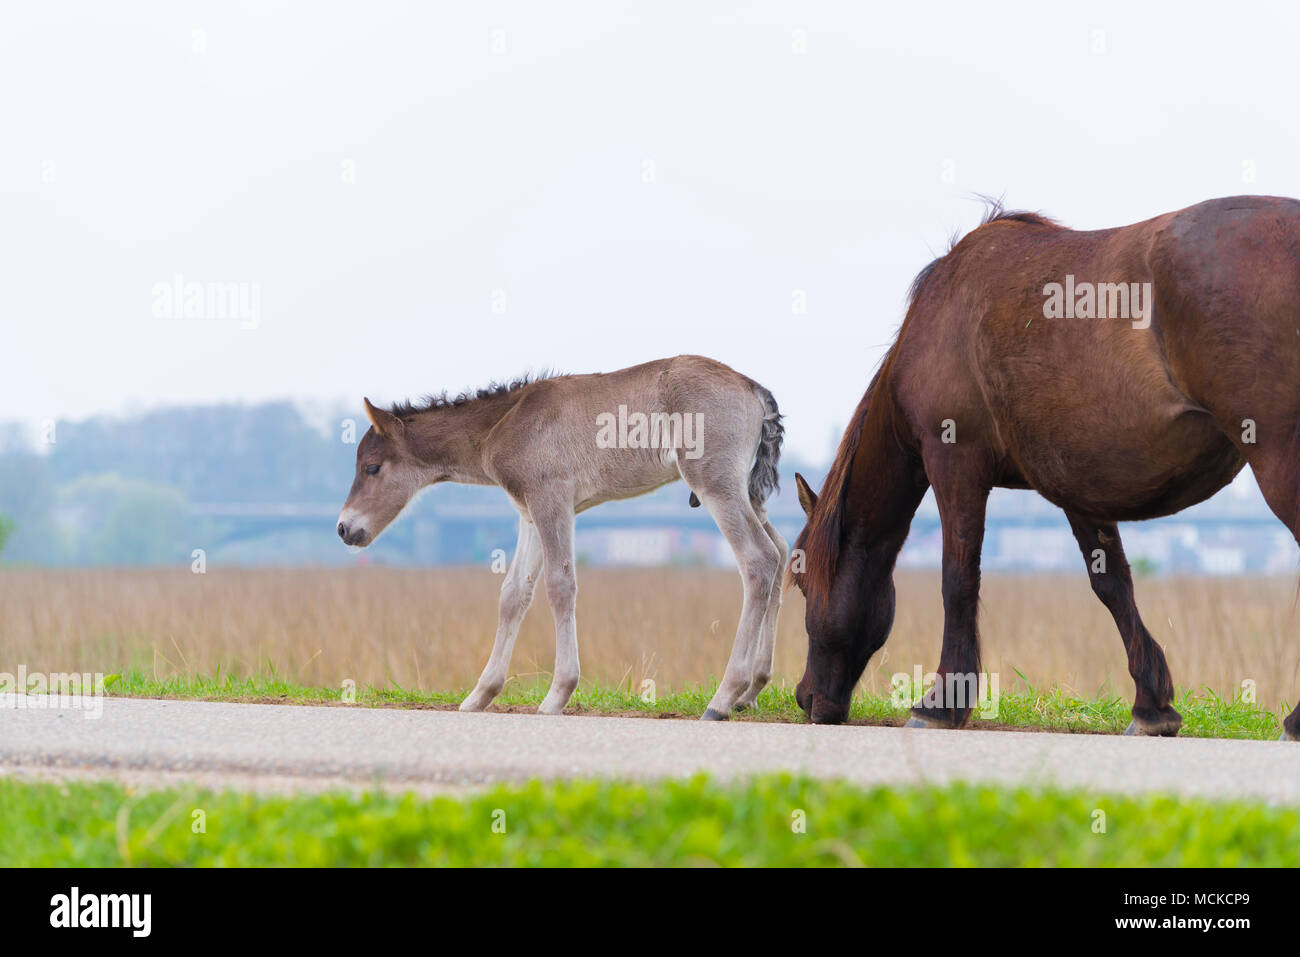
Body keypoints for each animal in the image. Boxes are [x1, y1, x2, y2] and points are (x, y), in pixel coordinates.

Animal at [338, 356, 780, 717]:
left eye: (372, 467)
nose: (344, 528)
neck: (504, 422)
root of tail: (752, 387)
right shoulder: (529, 513)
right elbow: (513, 594)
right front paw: (480, 695)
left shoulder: (552, 500)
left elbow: (559, 584)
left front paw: (557, 695)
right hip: (746, 491)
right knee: (780, 553)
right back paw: (751, 691)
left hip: (714, 482)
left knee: (758, 559)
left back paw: (724, 697)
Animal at [785, 191, 1300, 738]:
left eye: (802, 582)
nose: (806, 698)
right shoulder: (1080, 486)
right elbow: (1112, 585)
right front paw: (1151, 705)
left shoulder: (954, 463)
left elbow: (958, 578)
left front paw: (942, 702)